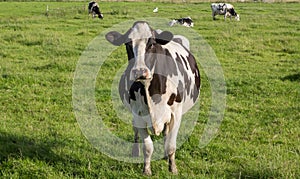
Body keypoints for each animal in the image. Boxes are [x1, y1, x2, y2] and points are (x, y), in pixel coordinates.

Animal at [105, 21, 202, 175]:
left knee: (166, 134)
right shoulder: (138, 113)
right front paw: (146, 169)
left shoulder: (176, 113)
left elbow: (171, 145)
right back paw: (135, 151)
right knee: (135, 130)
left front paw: (173, 168)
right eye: (127, 44)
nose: (139, 71)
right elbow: (148, 146)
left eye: (151, 44)